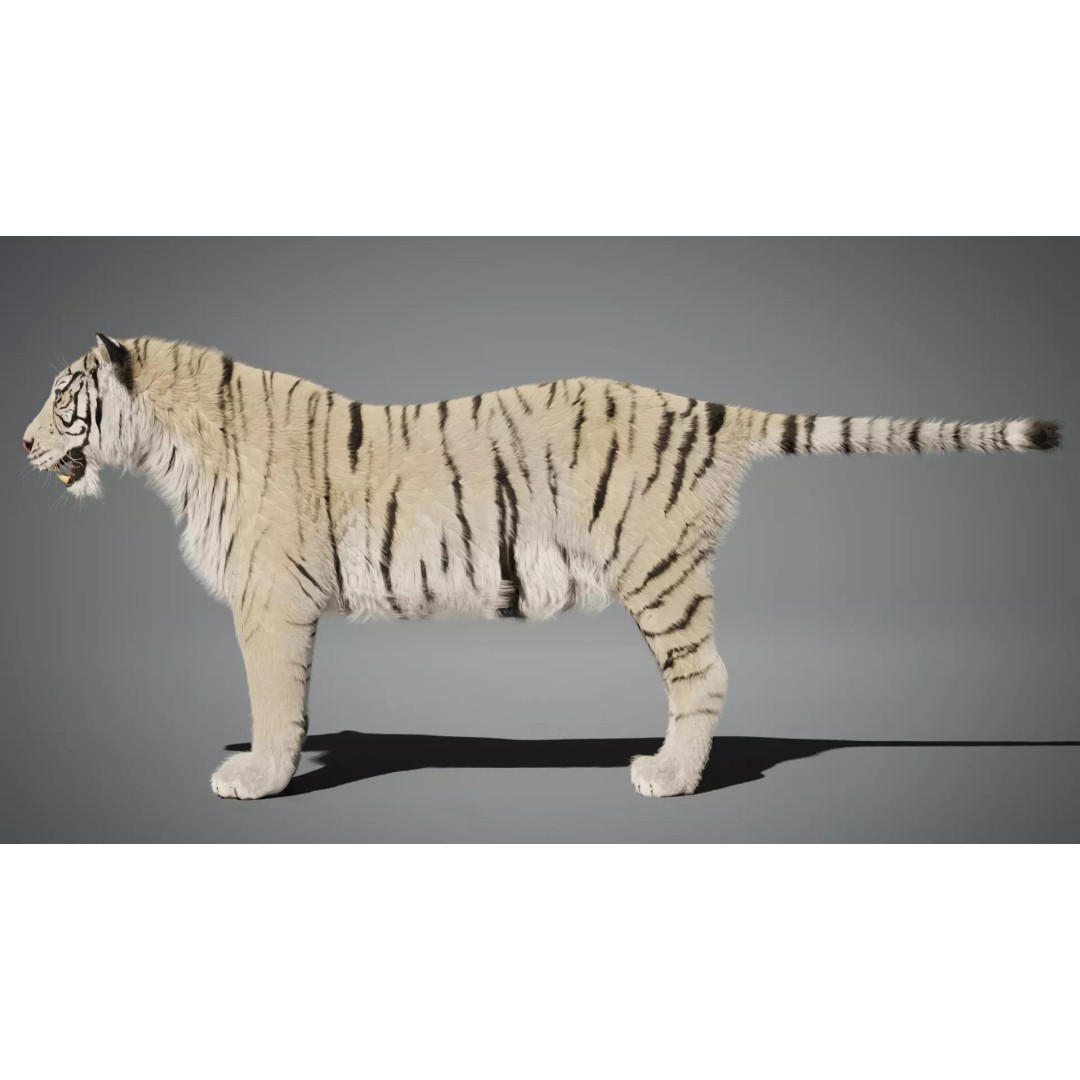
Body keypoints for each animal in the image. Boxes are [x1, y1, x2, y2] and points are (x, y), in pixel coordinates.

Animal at [22, 334, 1062, 800]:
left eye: (63, 396)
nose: (23, 442)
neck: (165, 447)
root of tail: (705, 407)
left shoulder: (268, 601)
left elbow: (273, 699)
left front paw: (256, 776)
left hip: (659, 572)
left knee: (706, 674)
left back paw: (668, 775)